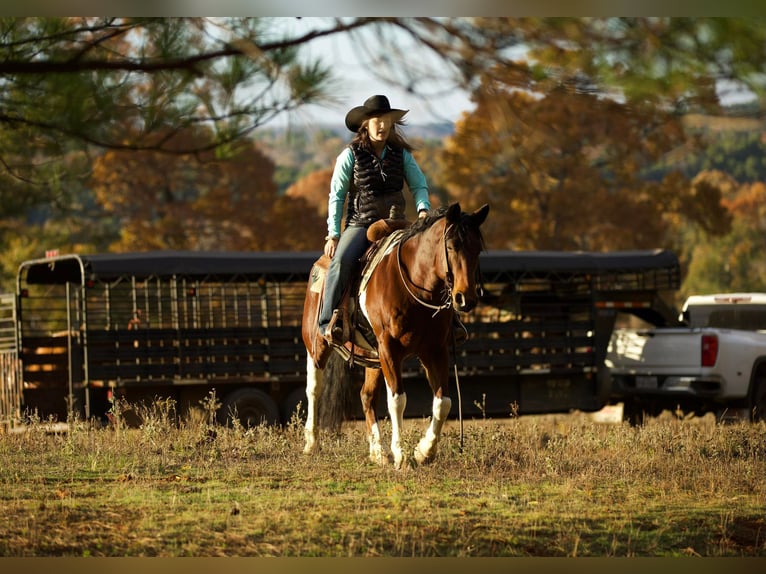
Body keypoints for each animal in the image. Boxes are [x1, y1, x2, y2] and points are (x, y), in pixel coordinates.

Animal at [302, 202, 492, 468]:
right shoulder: (389, 349)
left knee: (367, 396)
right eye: (452, 246)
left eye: (477, 249)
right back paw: (312, 443)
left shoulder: (435, 350)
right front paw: (401, 455)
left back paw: (378, 452)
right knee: (314, 389)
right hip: (317, 345)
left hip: (372, 356)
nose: (466, 299)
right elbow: (397, 401)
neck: (415, 285)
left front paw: (424, 451)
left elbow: (443, 402)